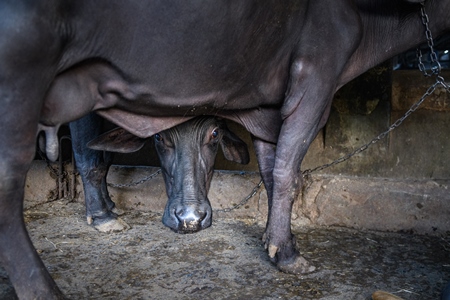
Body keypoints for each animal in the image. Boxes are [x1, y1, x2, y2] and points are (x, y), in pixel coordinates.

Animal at [0, 0, 448, 298]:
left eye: (215, 135)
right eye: (160, 138)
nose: (190, 220)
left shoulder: (268, 109)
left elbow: (270, 170)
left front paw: (271, 238)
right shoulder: (316, 77)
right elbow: (288, 170)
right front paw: (289, 254)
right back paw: (45, 289)